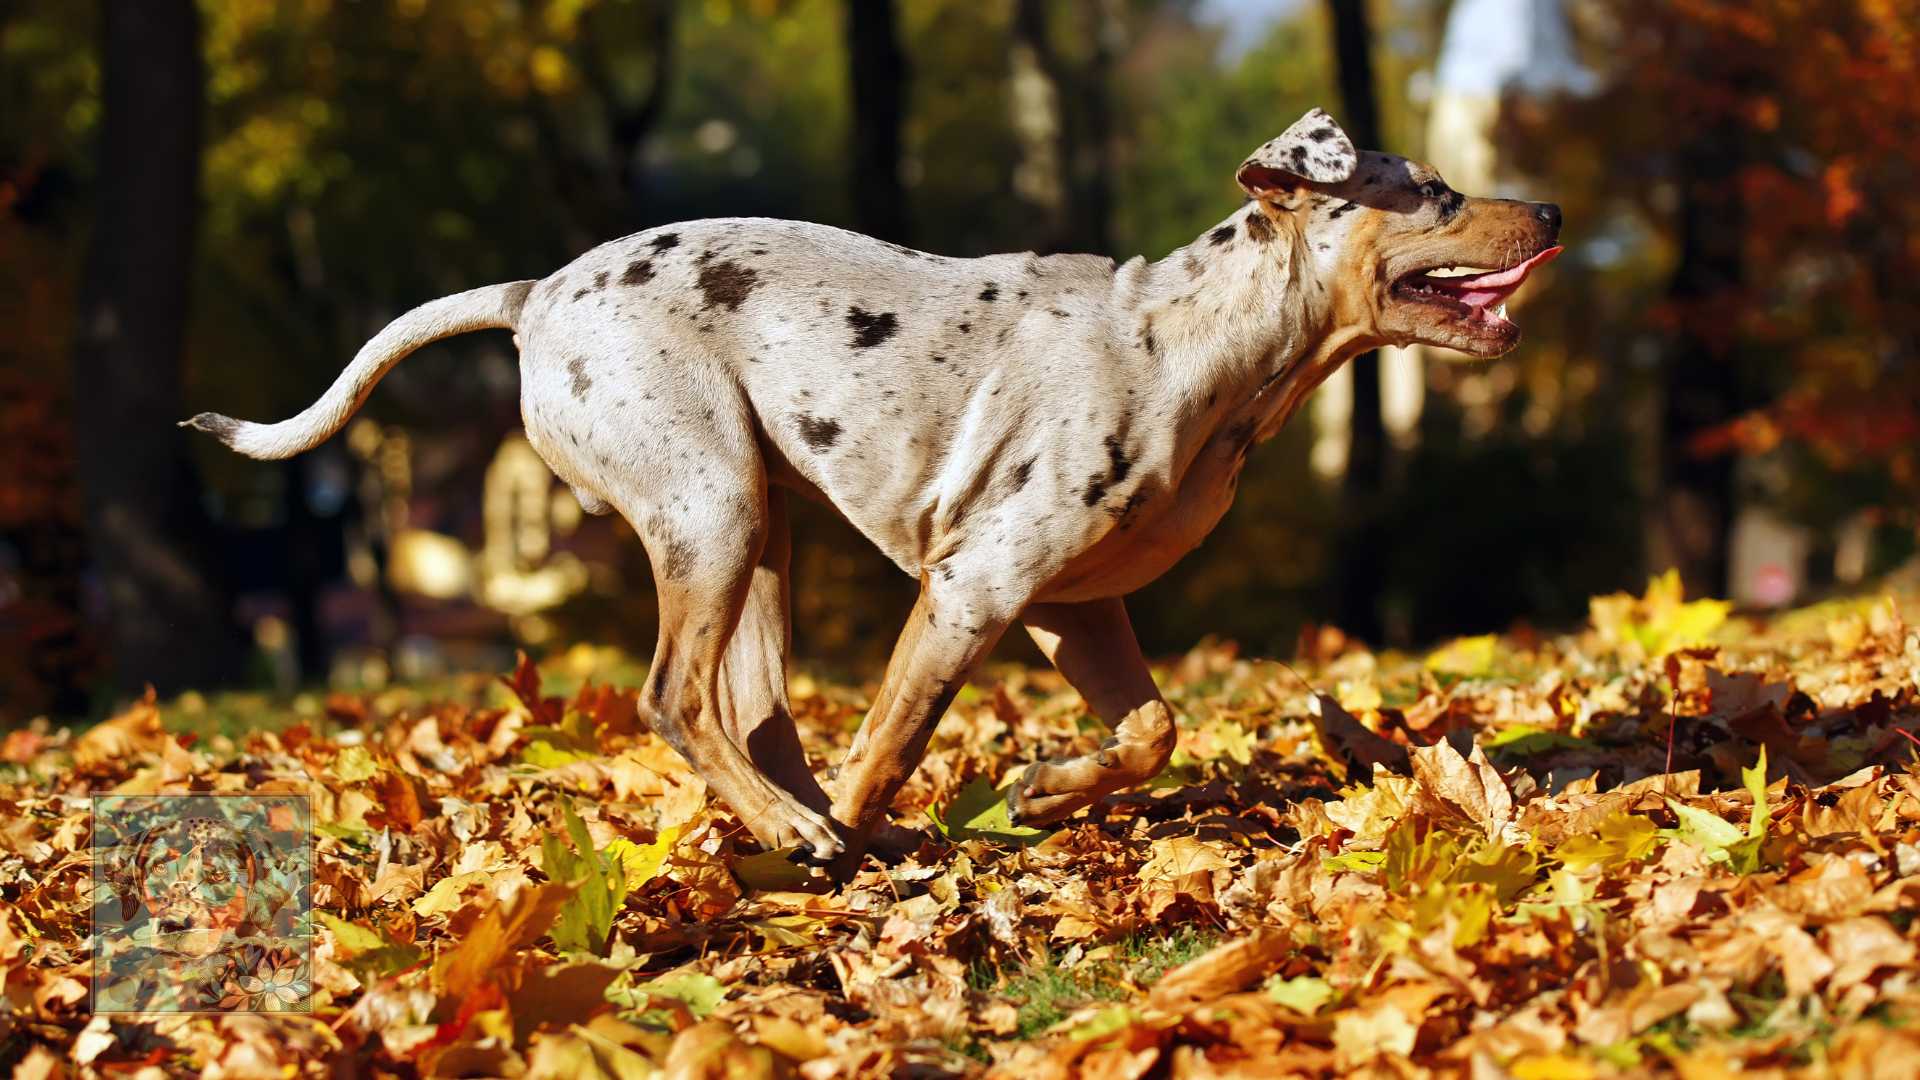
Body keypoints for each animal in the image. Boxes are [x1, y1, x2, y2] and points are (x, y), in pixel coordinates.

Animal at [187, 107, 1559, 876]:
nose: (1549, 205)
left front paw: (1046, 789)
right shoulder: (976, 590)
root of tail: (536, 295)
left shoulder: (1072, 608)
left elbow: (1151, 731)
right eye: (1436, 192)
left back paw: (798, 826)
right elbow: (892, 744)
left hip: (762, 531)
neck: (1193, 345)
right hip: (710, 510)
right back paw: (801, 838)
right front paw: (850, 854)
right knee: (678, 701)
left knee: (754, 718)